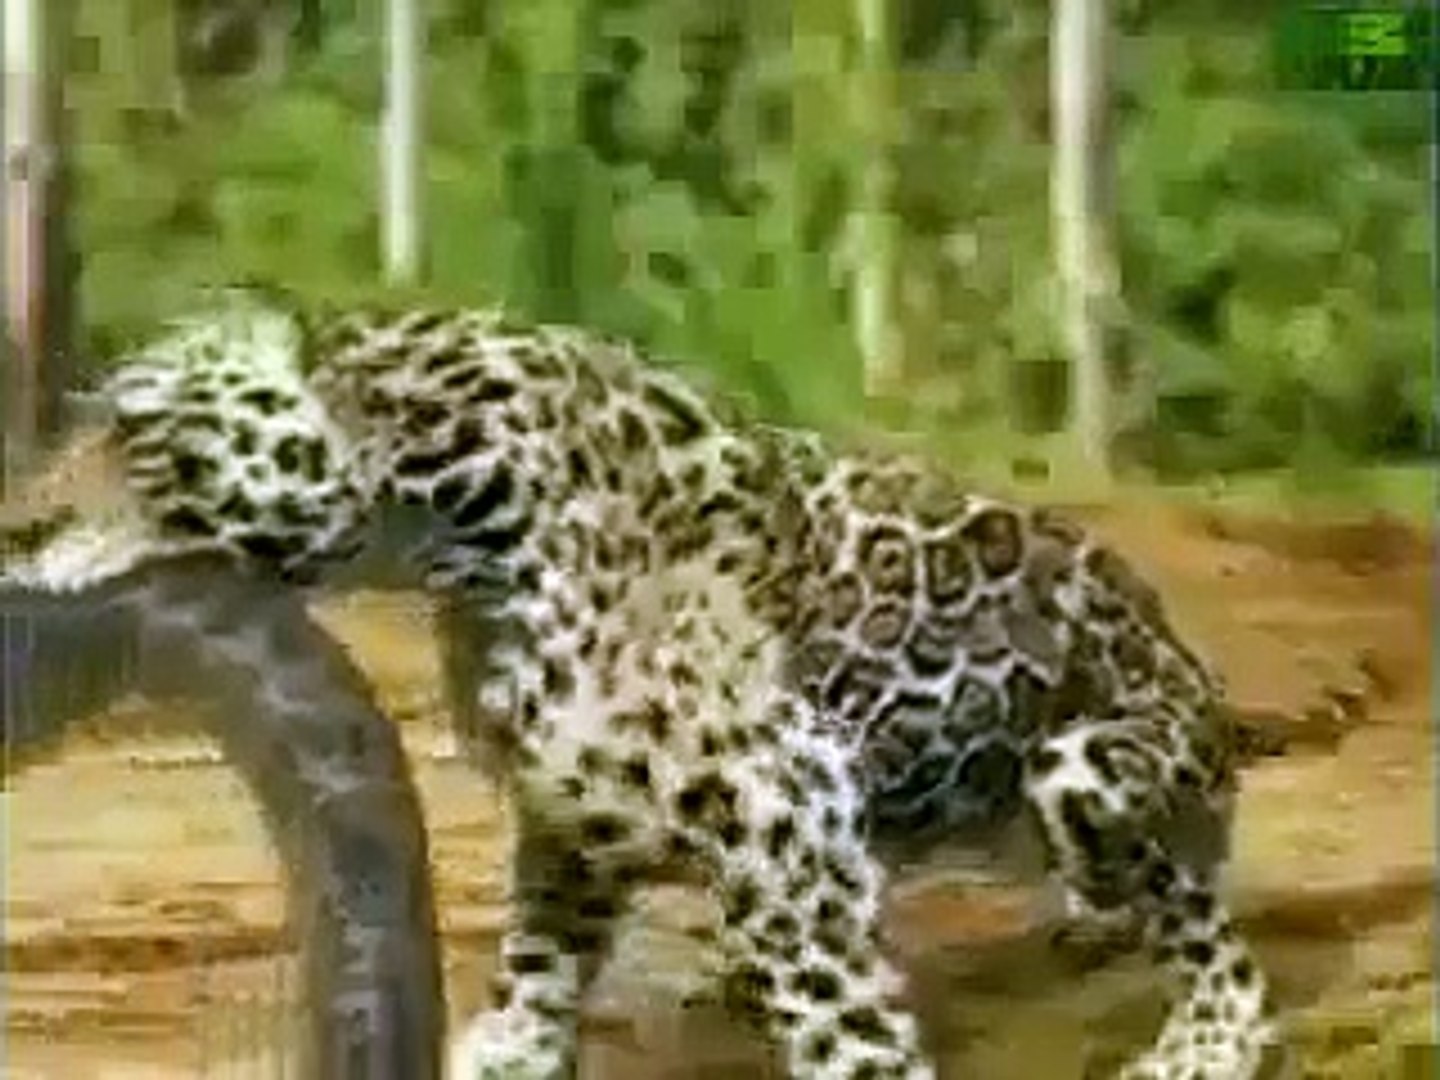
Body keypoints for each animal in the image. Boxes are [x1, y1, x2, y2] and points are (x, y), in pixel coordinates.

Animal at [2, 288, 1277, 1079]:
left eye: (132, 431)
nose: (17, 529)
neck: (451, 519)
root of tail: (1188, 660)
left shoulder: (783, 806)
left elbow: (841, 1014)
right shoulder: (578, 815)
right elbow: (538, 963)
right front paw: (511, 1047)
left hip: (1090, 766)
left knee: (1231, 971)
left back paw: (1192, 1042)